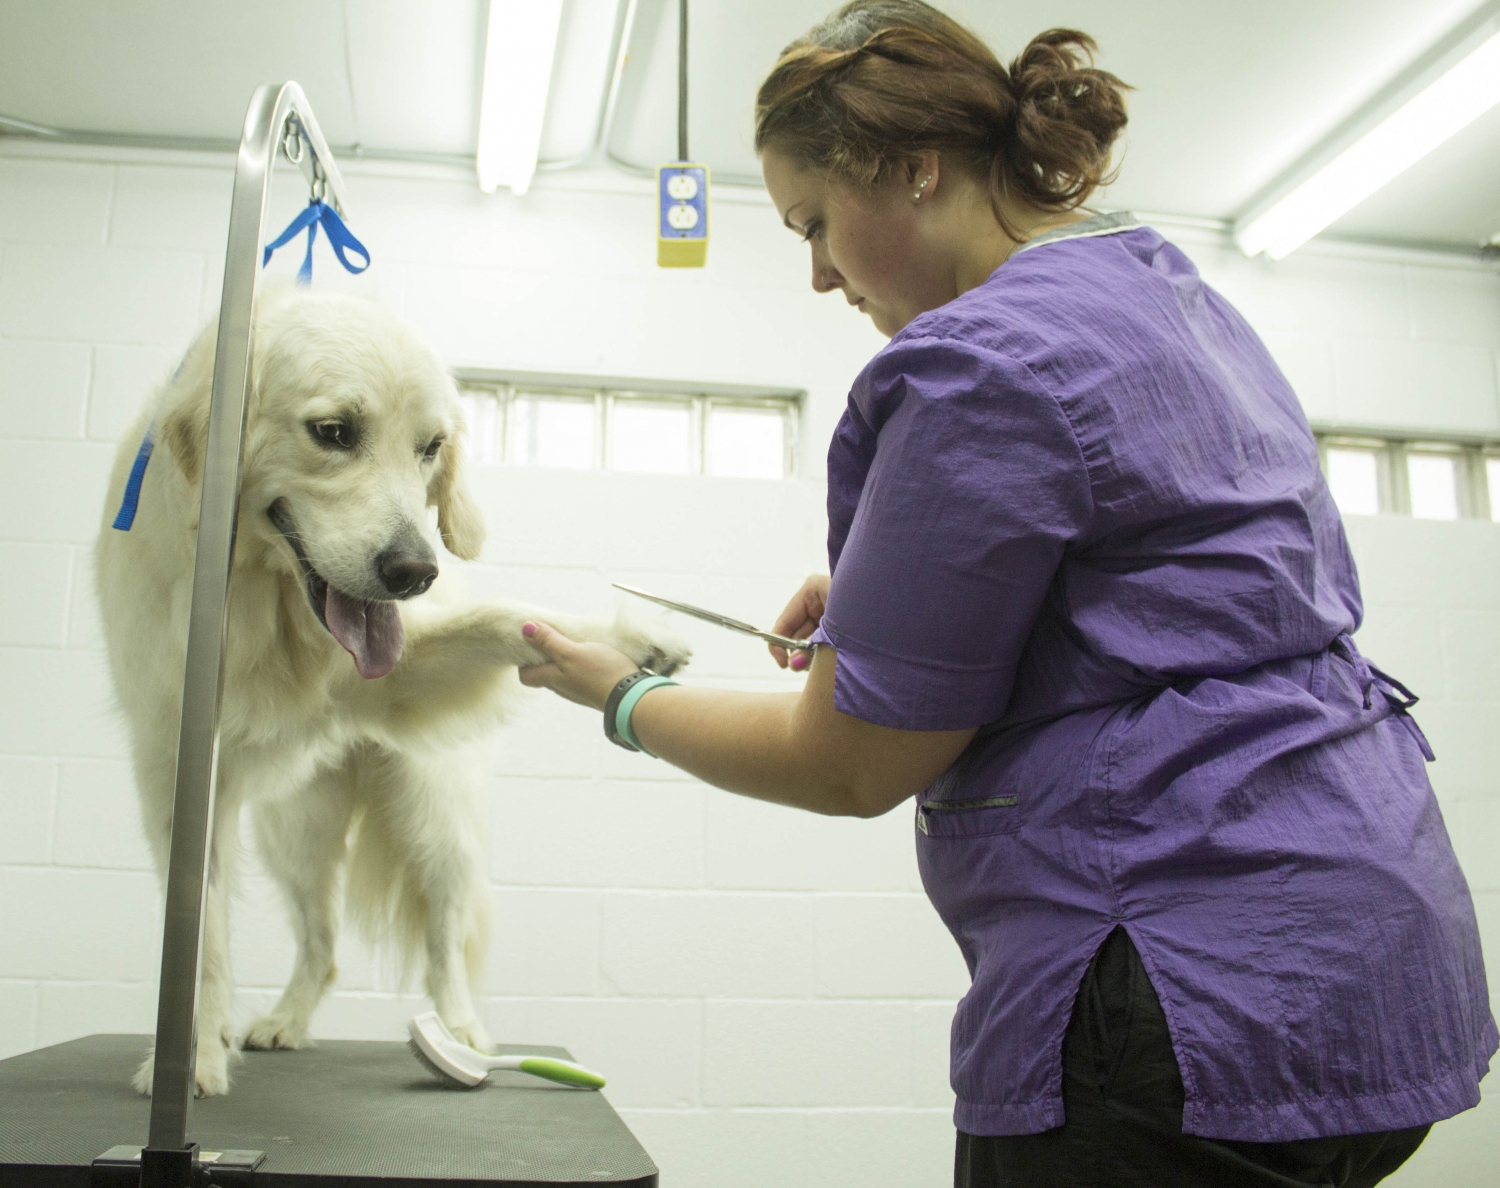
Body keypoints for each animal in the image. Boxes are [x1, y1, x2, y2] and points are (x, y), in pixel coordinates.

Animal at [87, 288, 687, 1098]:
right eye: (335, 432)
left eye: (429, 447)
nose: (414, 572)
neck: (265, 602)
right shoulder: (178, 774)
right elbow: (202, 933)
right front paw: (196, 1058)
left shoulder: (391, 674)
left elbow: (510, 618)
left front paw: (622, 641)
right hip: (295, 834)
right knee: (323, 941)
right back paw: (283, 1021)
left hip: (434, 817)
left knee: (444, 933)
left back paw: (459, 1035)